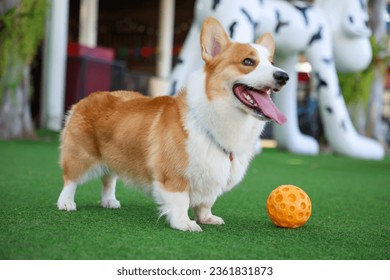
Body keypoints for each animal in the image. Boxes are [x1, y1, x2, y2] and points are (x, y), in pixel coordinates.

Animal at [58, 17, 290, 232]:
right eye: (248, 62)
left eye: (272, 63)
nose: (284, 76)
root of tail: (86, 98)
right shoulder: (174, 177)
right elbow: (181, 201)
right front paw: (184, 223)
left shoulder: (211, 180)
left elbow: (206, 203)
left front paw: (207, 218)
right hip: (81, 156)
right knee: (70, 179)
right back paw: (66, 202)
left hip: (113, 155)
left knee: (108, 178)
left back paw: (109, 201)